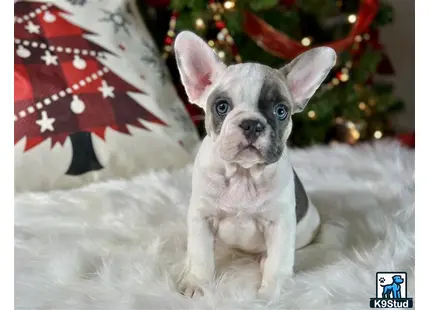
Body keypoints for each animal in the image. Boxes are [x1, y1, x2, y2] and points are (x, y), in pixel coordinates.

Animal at [174, 30, 336, 300]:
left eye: (281, 111)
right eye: (221, 106)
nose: (251, 123)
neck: (243, 173)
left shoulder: (280, 223)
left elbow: (278, 262)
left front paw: (270, 294)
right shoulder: (201, 217)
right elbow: (201, 255)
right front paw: (197, 283)